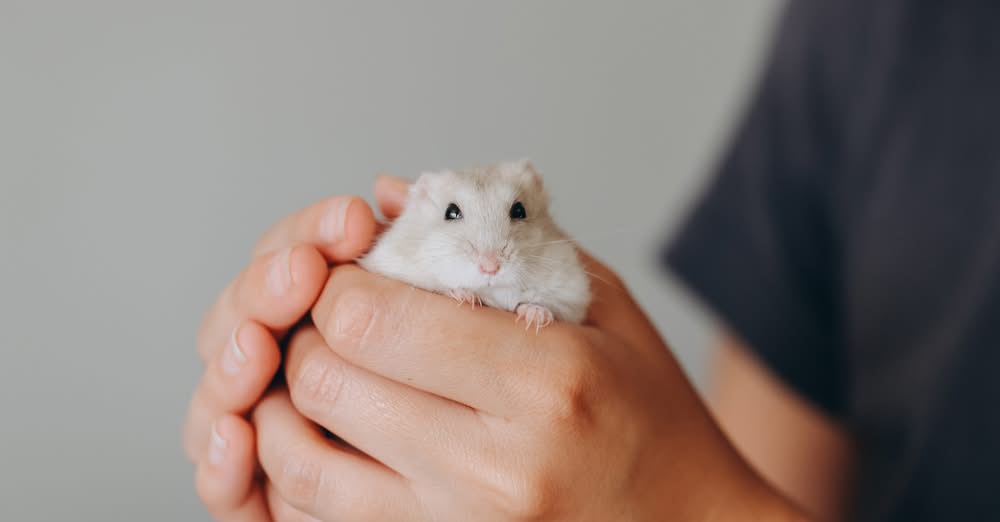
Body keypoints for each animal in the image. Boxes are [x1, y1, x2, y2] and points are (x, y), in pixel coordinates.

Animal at [358, 160, 591, 330]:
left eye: (519, 210)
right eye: (451, 212)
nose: (491, 267)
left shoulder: (571, 294)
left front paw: (535, 315)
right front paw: (465, 297)